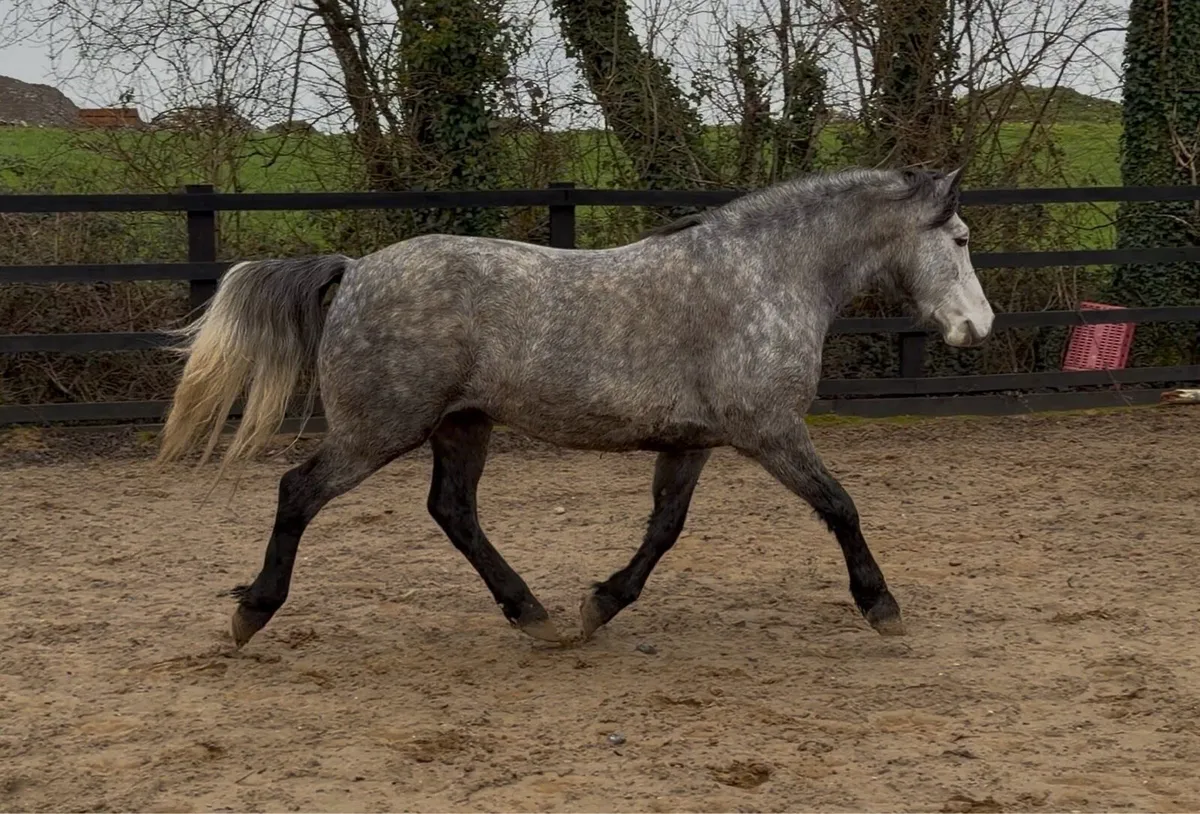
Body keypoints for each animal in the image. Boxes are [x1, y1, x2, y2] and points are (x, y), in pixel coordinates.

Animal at [157, 165, 994, 649]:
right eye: (958, 238)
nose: (978, 326)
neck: (763, 275)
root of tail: (356, 269)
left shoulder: (693, 441)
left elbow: (664, 530)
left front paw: (601, 605)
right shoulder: (770, 431)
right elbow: (840, 506)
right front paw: (880, 605)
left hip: (461, 426)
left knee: (453, 511)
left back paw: (534, 613)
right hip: (378, 429)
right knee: (299, 491)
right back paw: (251, 613)